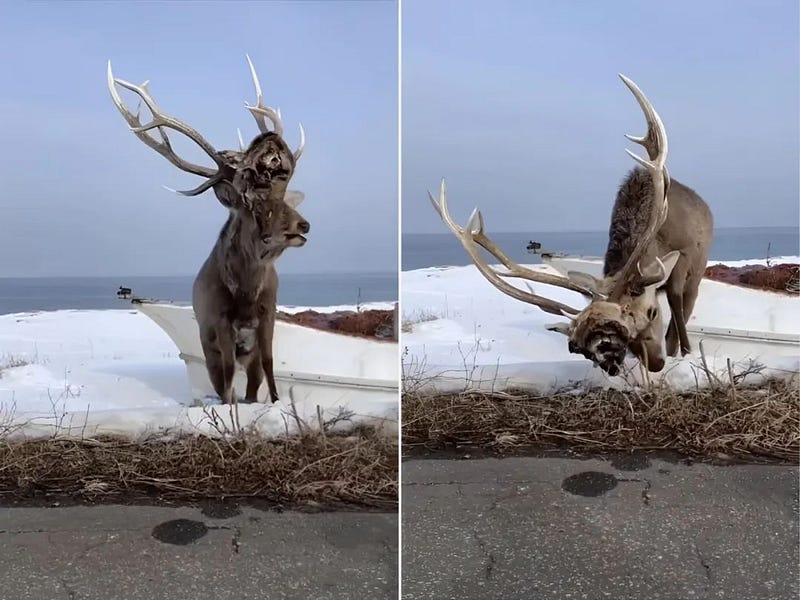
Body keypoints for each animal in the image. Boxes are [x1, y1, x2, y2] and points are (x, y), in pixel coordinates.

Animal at [111, 55, 310, 404]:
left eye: (285, 200)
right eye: (255, 206)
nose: (303, 225)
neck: (245, 294)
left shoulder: (268, 313)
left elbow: (269, 366)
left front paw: (274, 401)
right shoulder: (218, 323)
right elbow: (228, 379)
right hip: (208, 343)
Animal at [428, 74, 716, 376]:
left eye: (652, 312)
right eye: (628, 341)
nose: (656, 364)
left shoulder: (685, 257)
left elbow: (676, 301)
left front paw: (685, 352)